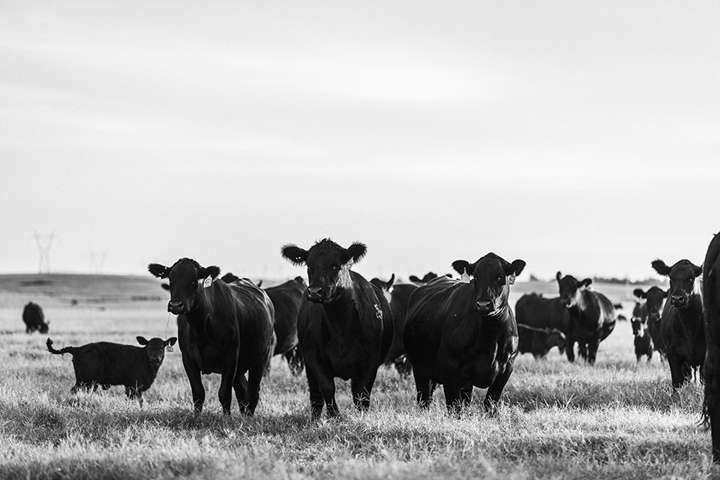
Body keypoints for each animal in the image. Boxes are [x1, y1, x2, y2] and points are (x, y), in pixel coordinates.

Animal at [46, 336, 177, 406]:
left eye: (162, 347)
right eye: (149, 347)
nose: (155, 359)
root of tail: (78, 349)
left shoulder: (130, 386)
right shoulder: (135, 386)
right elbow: (139, 401)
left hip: (84, 382)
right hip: (86, 382)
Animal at [148, 258, 275, 416]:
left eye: (194, 281)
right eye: (171, 279)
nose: (176, 305)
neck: (201, 328)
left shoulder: (231, 358)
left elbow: (224, 394)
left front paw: (226, 418)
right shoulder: (188, 359)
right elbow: (198, 393)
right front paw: (197, 418)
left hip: (261, 358)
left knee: (253, 391)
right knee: (242, 391)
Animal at [281, 239, 393, 419]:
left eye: (336, 266)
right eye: (309, 265)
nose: (315, 292)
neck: (341, 326)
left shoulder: (371, 359)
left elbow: (362, 392)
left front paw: (361, 417)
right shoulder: (313, 357)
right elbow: (327, 387)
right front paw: (334, 416)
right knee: (315, 394)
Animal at [403, 252, 525, 414]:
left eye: (500, 276)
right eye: (476, 277)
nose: (483, 304)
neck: (489, 337)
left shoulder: (507, 367)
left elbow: (490, 403)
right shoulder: (449, 366)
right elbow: (454, 406)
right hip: (420, 368)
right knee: (424, 398)